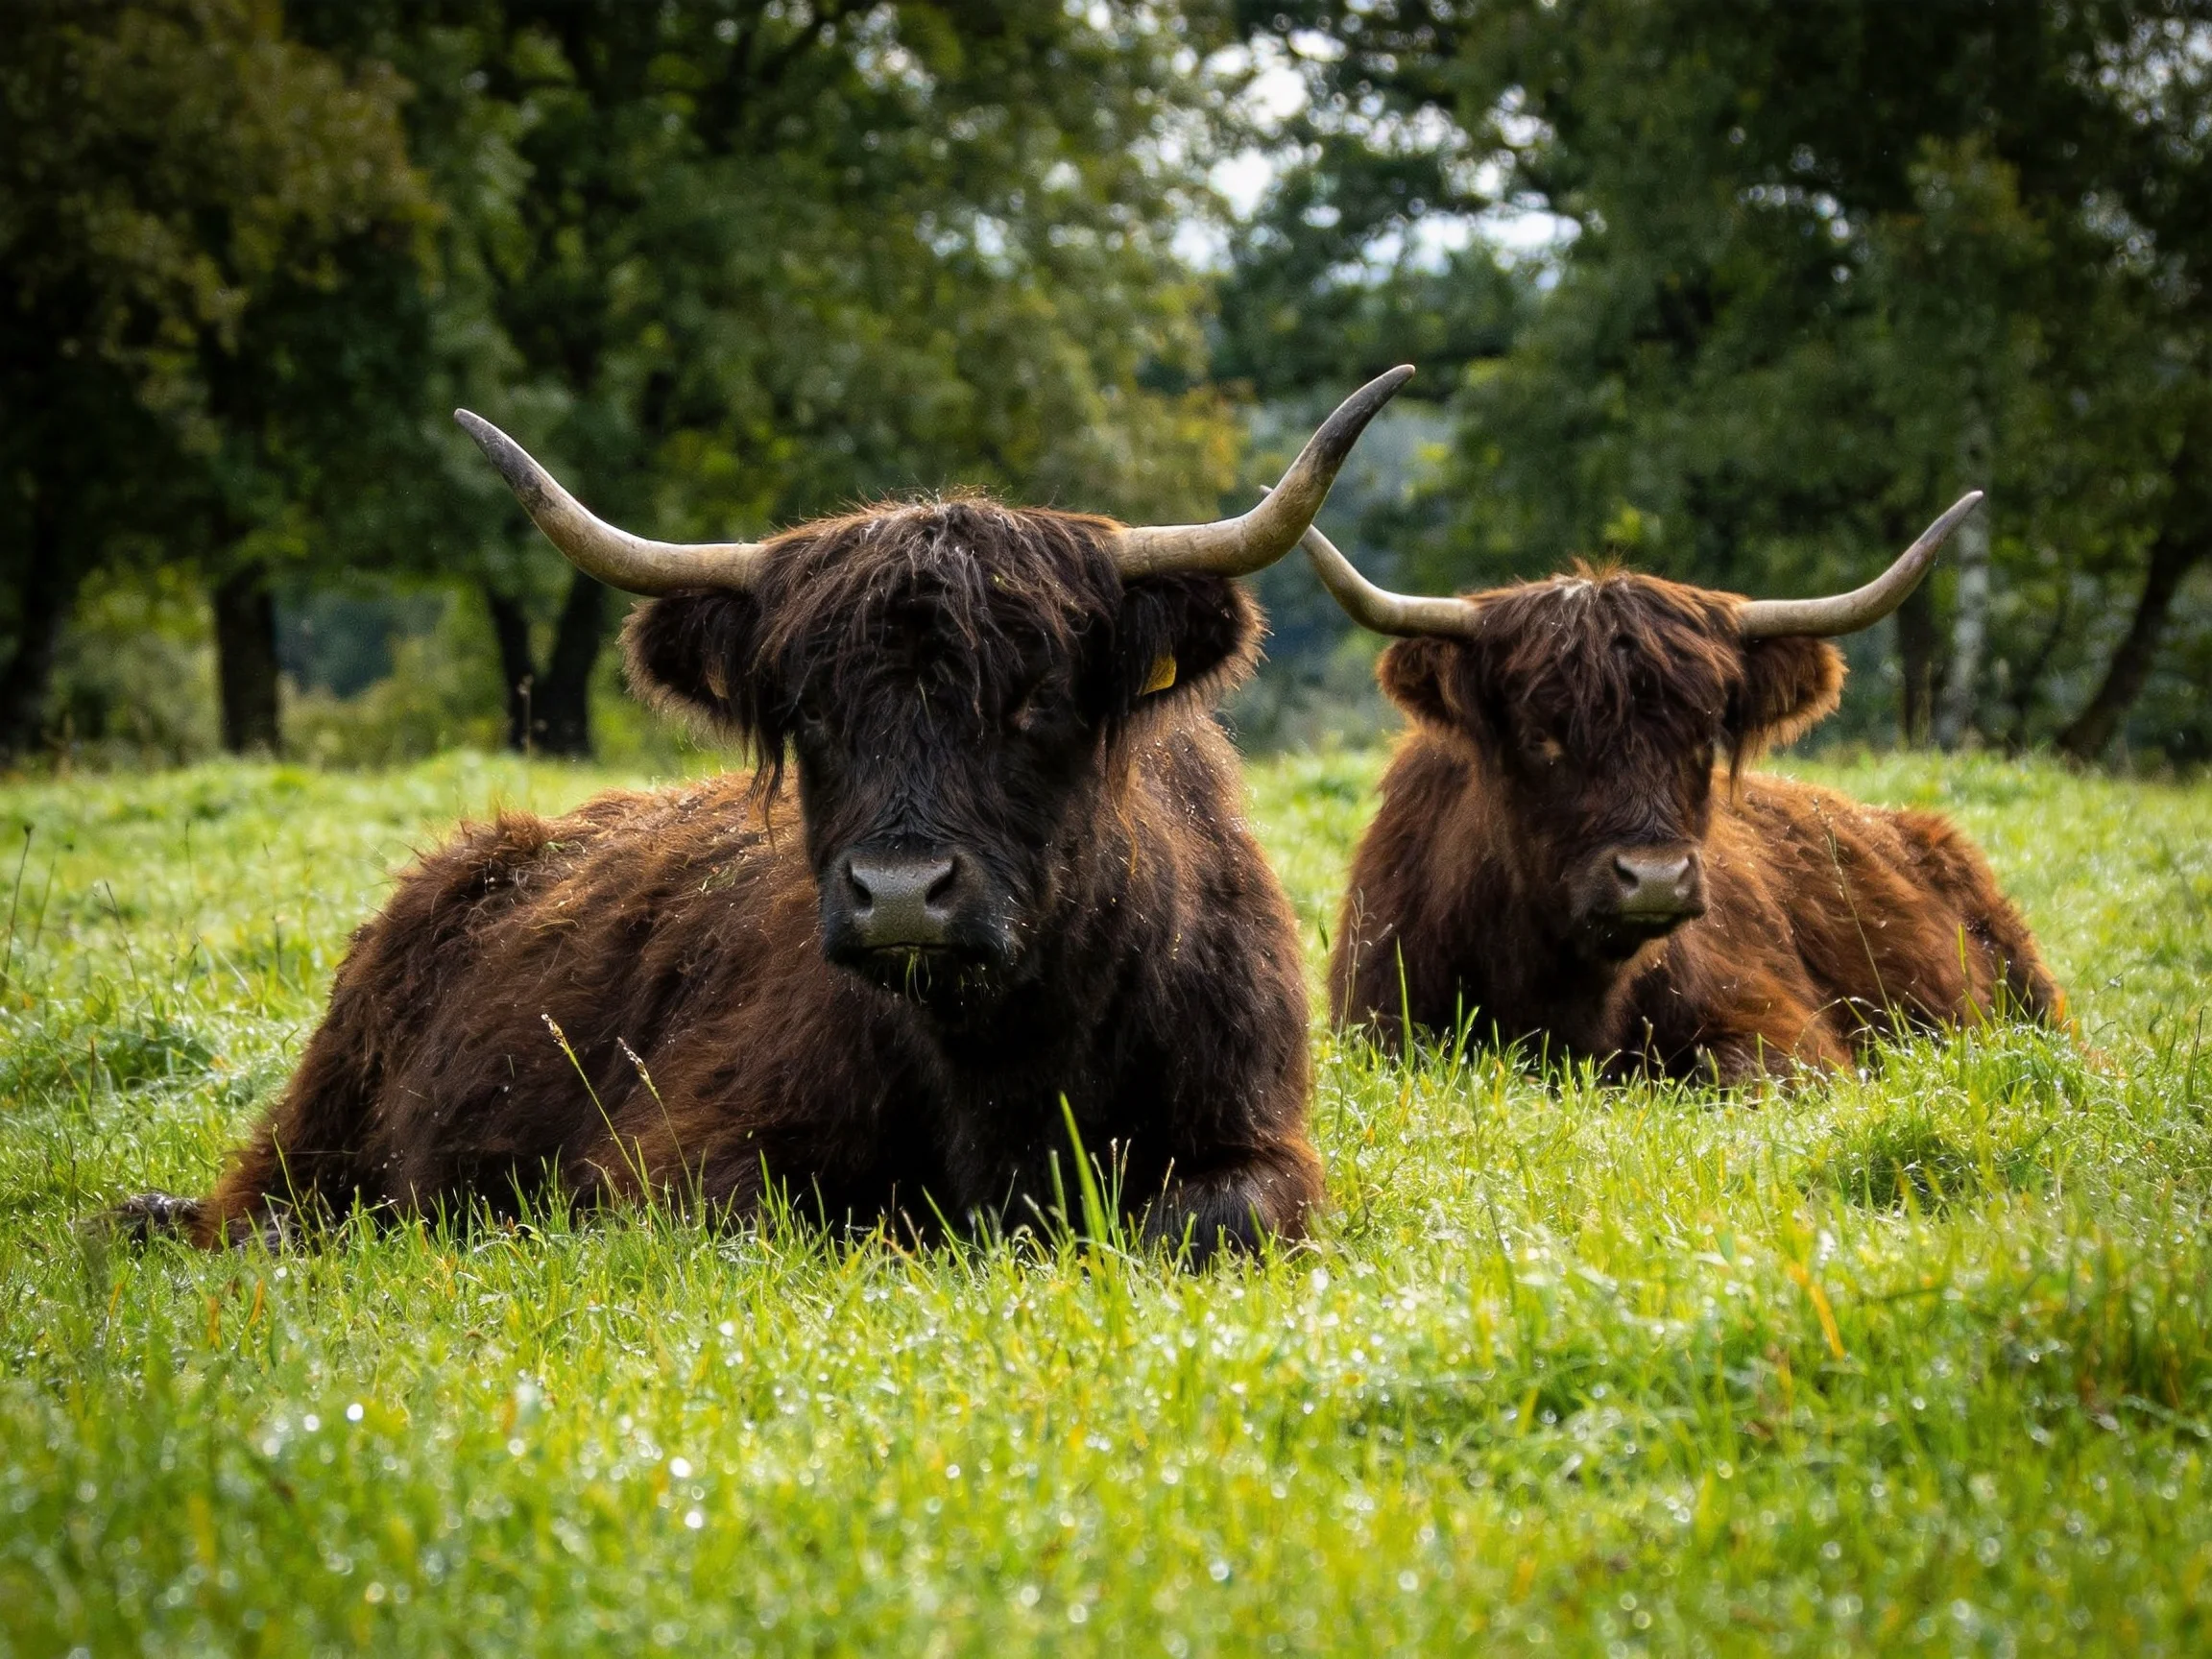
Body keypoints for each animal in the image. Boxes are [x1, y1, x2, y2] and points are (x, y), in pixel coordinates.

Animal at [113, 367, 1415, 1257]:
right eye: (814, 713)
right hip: (321, 1136)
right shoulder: (672, 1157)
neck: (999, 1054)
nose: (901, 895)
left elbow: (1209, 1221)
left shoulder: (1254, 1137)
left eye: (1036, 703)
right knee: (265, 1208)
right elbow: (799, 1220)